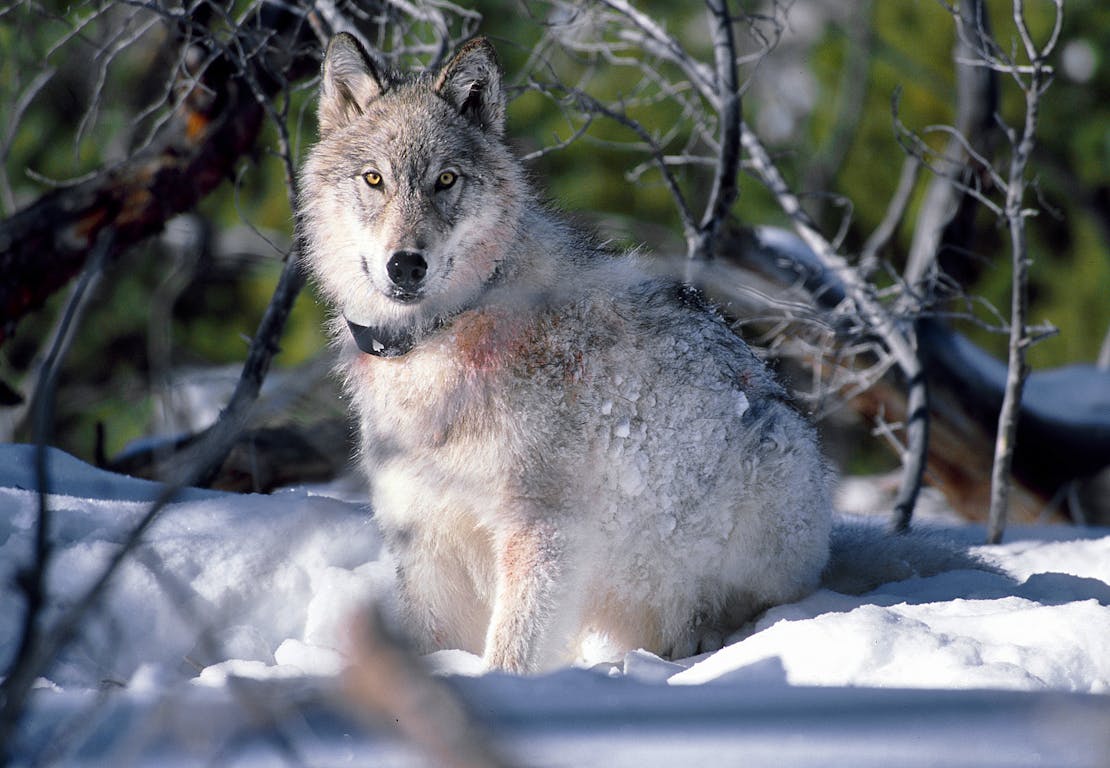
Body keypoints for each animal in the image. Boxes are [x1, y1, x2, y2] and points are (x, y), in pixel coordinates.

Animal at [297, 34, 892, 670]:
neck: (438, 341)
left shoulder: (543, 533)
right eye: (373, 179)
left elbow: (511, 652)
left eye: (446, 179)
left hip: (769, 463)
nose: (406, 264)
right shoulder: (426, 539)